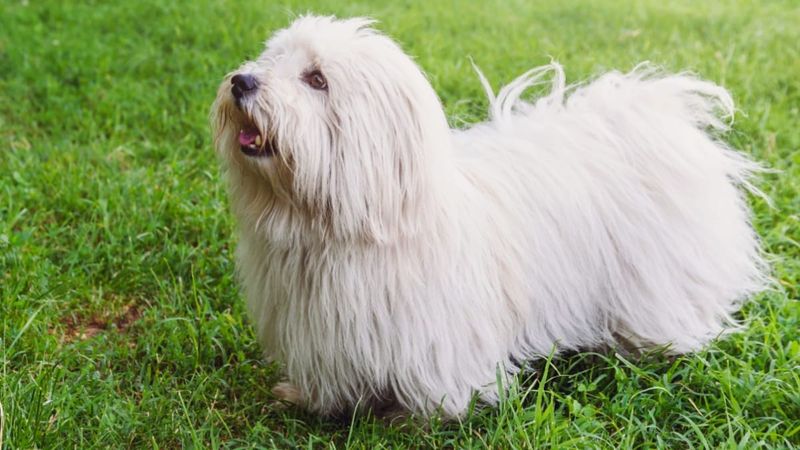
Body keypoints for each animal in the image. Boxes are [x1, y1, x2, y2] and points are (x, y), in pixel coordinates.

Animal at [209, 16, 764, 418]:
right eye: (272, 59)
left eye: (317, 79)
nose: (243, 81)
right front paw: (310, 398)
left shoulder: (435, 339)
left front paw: (416, 418)